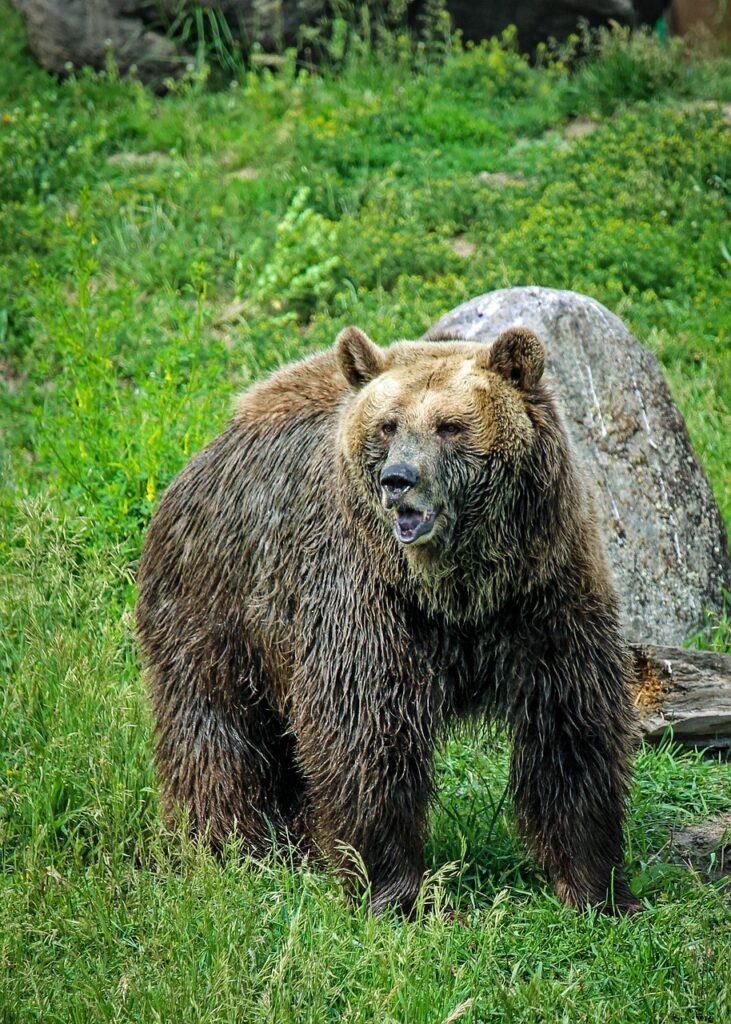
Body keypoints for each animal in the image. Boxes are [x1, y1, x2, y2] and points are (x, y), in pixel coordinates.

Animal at [136, 324, 639, 915]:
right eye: (388, 424)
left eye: (450, 425)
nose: (397, 478)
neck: (459, 590)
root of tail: (204, 454)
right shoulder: (367, 600)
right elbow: (367, 732)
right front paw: (392, 890)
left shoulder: (544, 591)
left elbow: (570, 726)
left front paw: (597, 886)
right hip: (216, 600)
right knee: (215, 728)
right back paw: (231, 845)